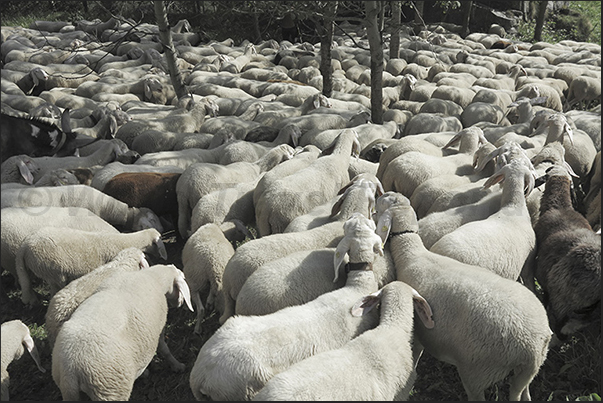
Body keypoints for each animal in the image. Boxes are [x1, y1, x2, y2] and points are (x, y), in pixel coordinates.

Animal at [52, 266, 195, 400]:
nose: (180, 303)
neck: (153, 277)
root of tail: (70, 371)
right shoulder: (159, 328)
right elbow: (164, 349)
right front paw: (178, 366)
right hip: (109, 390)